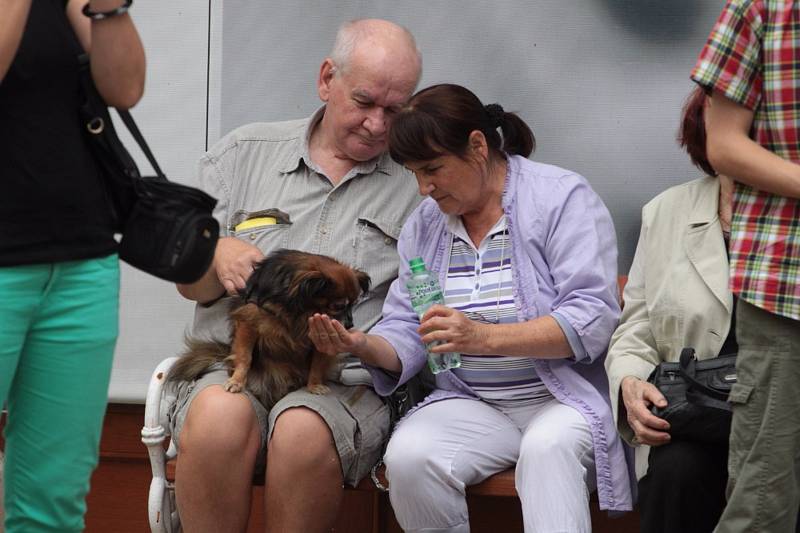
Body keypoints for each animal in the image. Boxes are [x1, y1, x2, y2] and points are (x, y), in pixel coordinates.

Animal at [168, 248, 372, 408]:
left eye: (353, 304)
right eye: (338, 306)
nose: (350, 325)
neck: (297, 306)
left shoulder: (319, 340)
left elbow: (317, 364)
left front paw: (314, 385)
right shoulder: (249, 322)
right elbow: (245, 358)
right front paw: (237, 381)